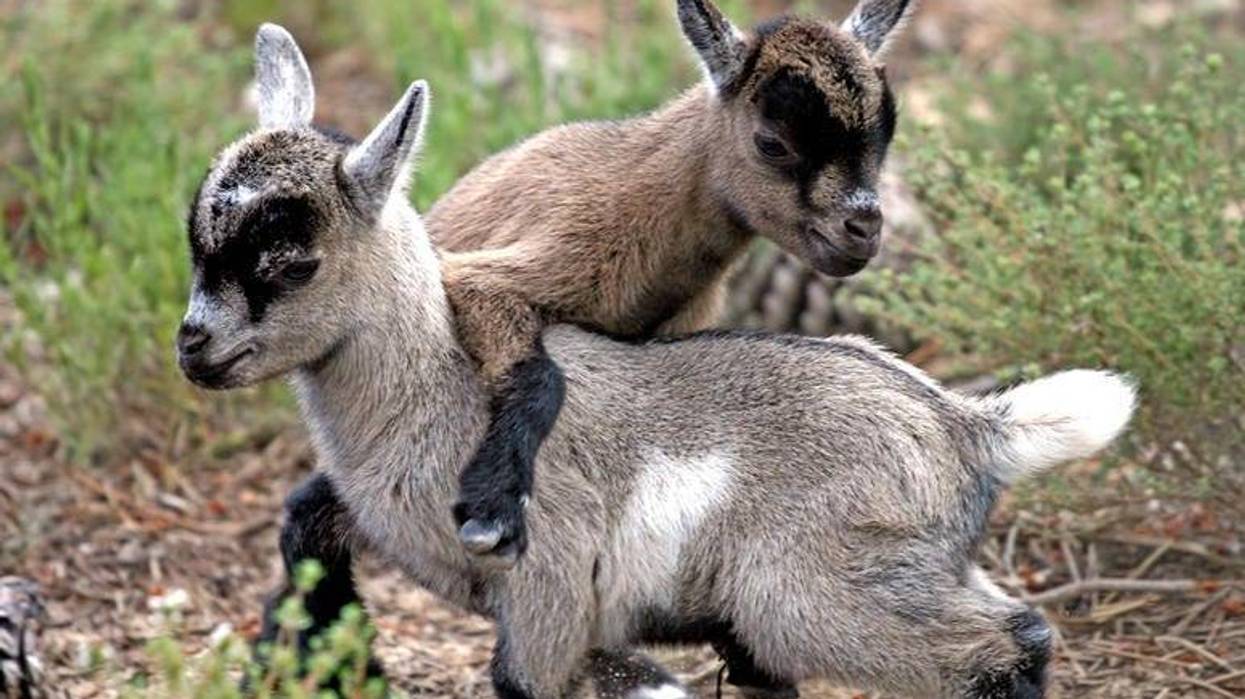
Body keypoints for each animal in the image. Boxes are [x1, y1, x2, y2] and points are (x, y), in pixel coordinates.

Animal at [177, 37, 1136, 698]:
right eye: (198, 241)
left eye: (291, 260)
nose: (193, 346)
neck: (435, 386)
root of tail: (967, 425)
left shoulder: (548, 591)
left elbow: (524, 682)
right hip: (897, 575)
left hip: (818, 595)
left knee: (1001, 645)